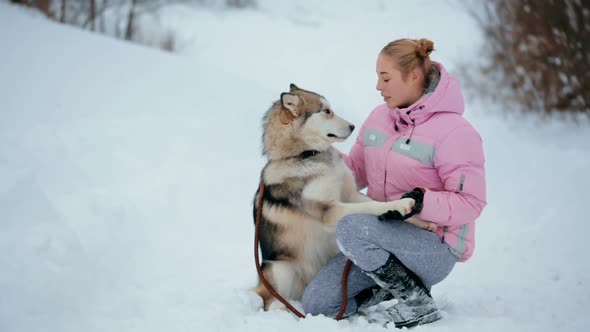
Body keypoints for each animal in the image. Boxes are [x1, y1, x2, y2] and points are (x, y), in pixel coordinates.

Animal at [252, 83, 432, 312]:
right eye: (326, 111)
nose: (353, 126)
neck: (306, 154)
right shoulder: (331, 210)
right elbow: (371, 207)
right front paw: (403, 204)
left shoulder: (350, 194)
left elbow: (377, 203)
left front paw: (422, 220)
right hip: (279, 269)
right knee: (270, 300)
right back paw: (282, 308)